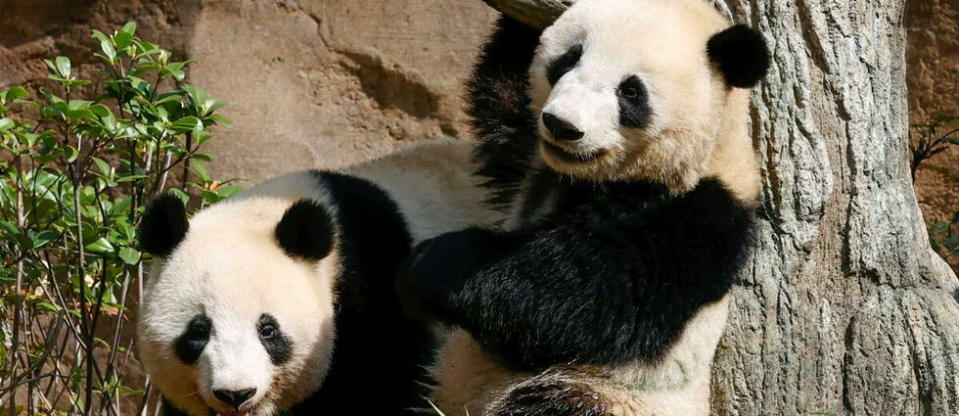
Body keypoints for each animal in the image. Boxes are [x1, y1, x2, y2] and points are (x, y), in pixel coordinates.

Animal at [398, 0, 772, 414]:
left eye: (631, 91)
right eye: (569, 58)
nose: (562, 125)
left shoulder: (695, 214)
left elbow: (578, 296)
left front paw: (431, 263)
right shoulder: (526, 152)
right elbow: (504, 89)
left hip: (599, 391)